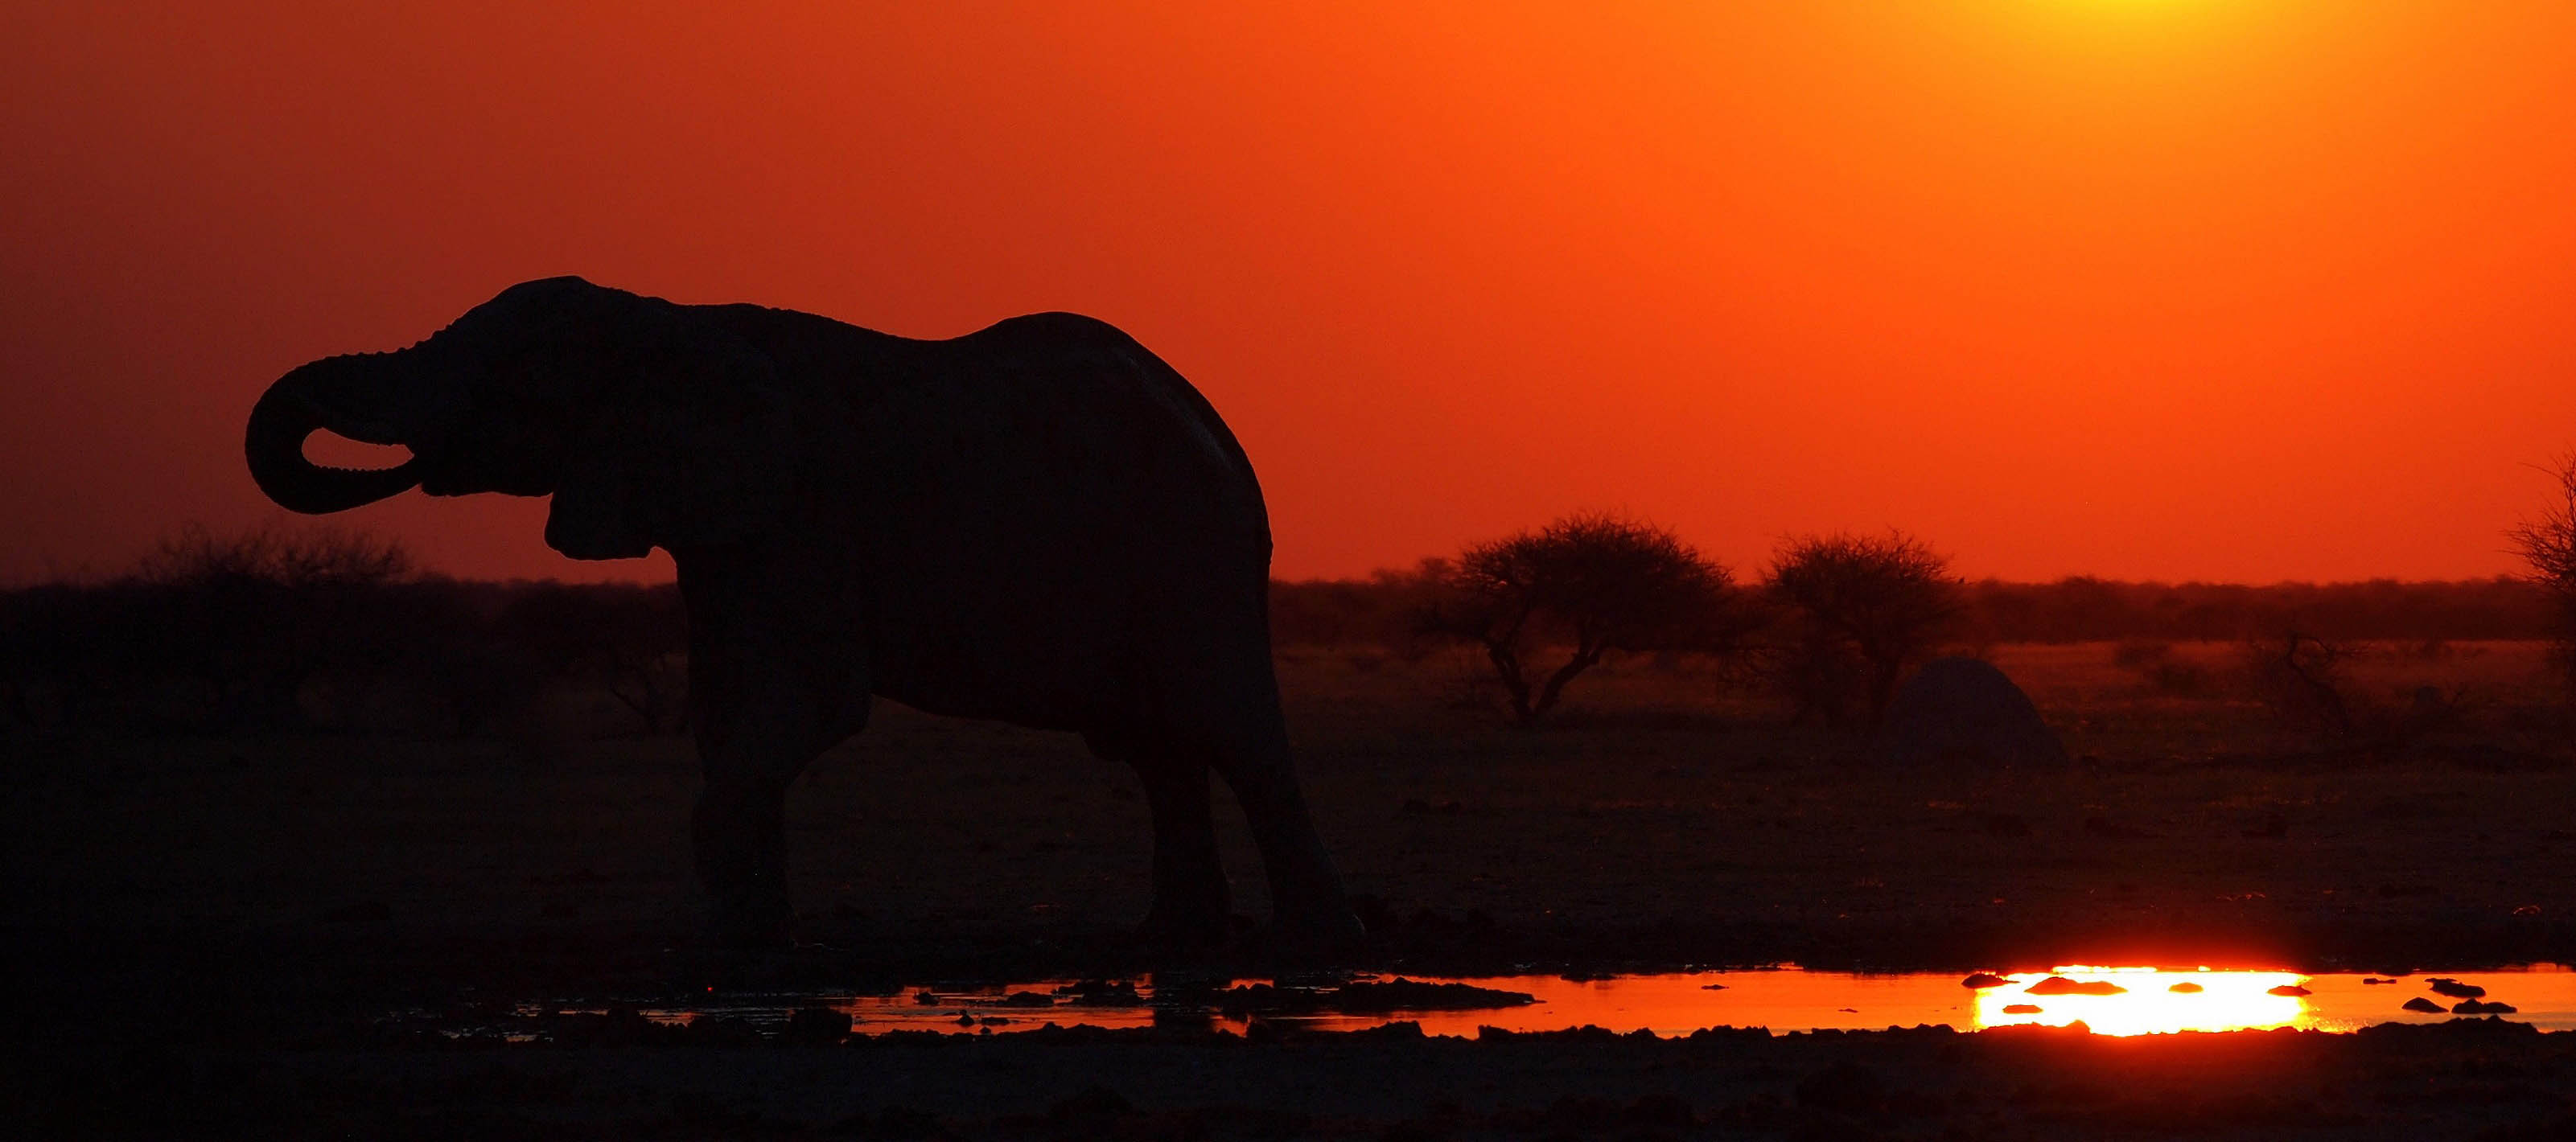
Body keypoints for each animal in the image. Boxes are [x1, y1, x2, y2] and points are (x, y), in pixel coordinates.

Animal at [243, 274, 1370, 948]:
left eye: (514, 380)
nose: (415, 465)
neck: (670, 319)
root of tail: (1218, 425)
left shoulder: (802, 514)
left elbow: (814, 703)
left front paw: (736, 931)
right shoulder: (726, 535)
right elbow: (725, 711)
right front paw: (752, 943)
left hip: (1193, 559)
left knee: (1232, 732)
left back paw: (1314, 953)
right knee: (1157, 749)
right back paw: (1175, 946)